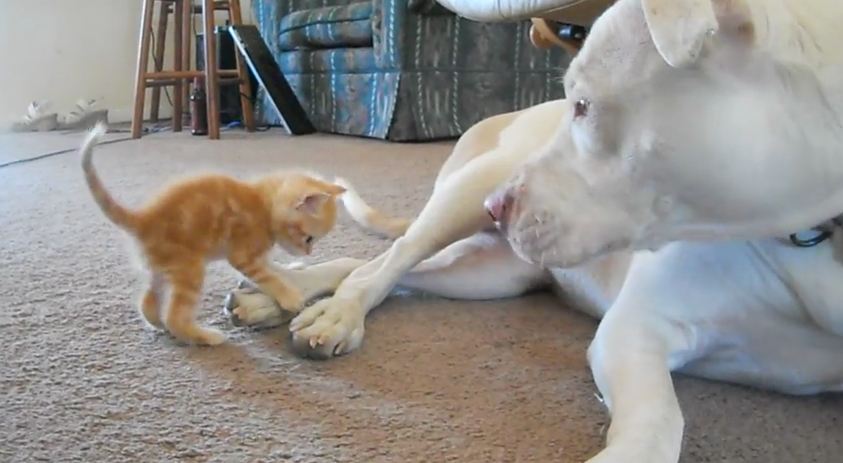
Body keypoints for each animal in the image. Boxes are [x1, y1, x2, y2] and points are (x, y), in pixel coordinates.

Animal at [78, 125, 342, 346]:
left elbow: (273, 267)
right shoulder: (243, 254)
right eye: (309, 239)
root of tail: (143, 218)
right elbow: (267, 276)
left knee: (148, 301)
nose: (308, 253)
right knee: (175, 317)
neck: (262, 204)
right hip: (189, 269)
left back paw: (157, 322)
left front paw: (293, 268)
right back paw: (207, 337)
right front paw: (288, 296)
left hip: (163, 268)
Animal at [224, 1, 843, 462]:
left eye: (585, 105)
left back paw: (280, 295)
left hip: (490, 274)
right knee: (385, 263)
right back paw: (331, 313)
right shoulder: (635, 331)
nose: (499, 208)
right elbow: (660, 421)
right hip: (464, 196)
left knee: (376, 267)